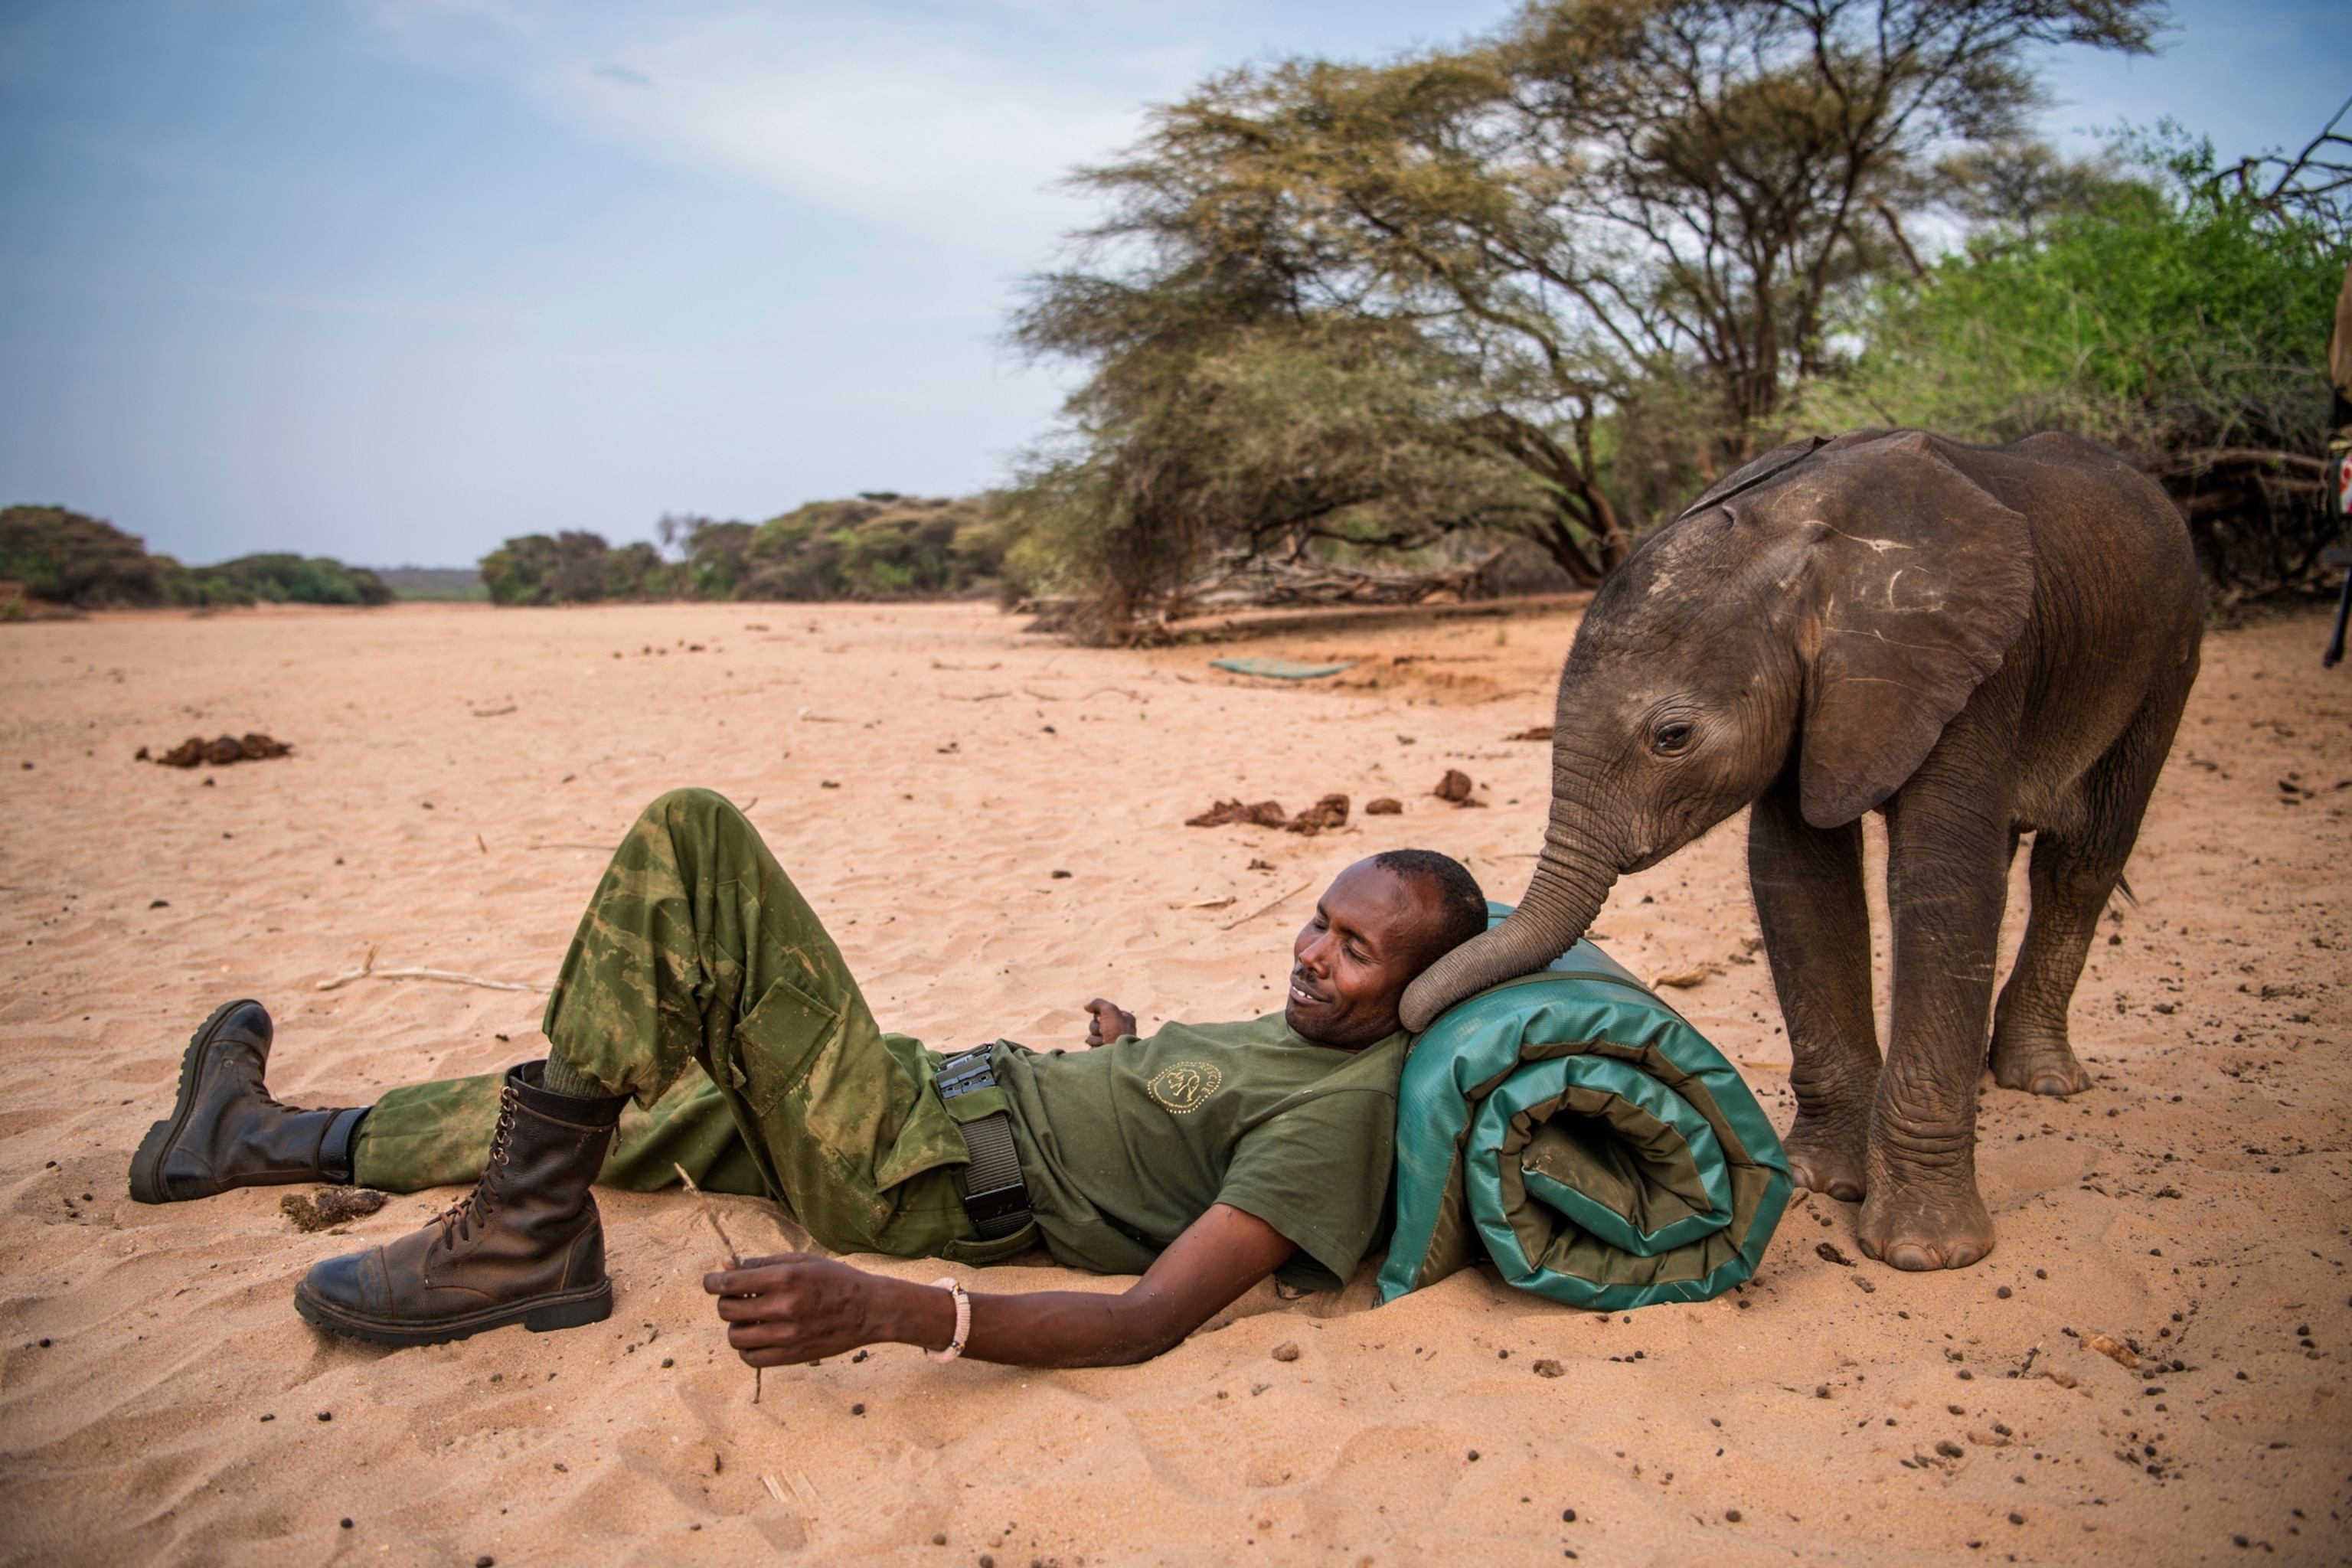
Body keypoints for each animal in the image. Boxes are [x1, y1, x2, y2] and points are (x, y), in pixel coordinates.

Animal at [1400, 428, 2202, 1271]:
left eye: (1672, 737)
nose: (1409, 1019)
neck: (1799, 539)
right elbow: (1799, 879)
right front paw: (1821, 1181)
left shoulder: (1974, 668)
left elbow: (1943, 883)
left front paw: (1923, 1254)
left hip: (2170, 653)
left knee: (2082, 861)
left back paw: (2041, 1080)